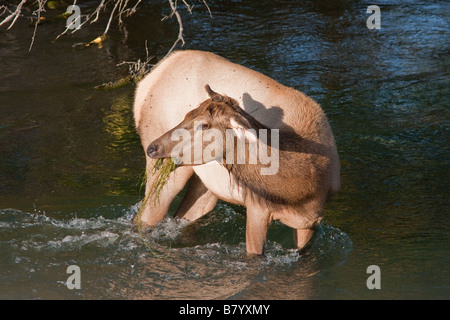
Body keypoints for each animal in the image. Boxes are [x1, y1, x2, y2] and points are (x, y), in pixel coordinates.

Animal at [134, 50, 342, 255]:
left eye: (204, 125)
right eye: (187, 115)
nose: (153, 147)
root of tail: (144, 85)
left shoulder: (310, 222)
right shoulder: (257, 208)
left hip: (207, 184)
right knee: (146, 216)